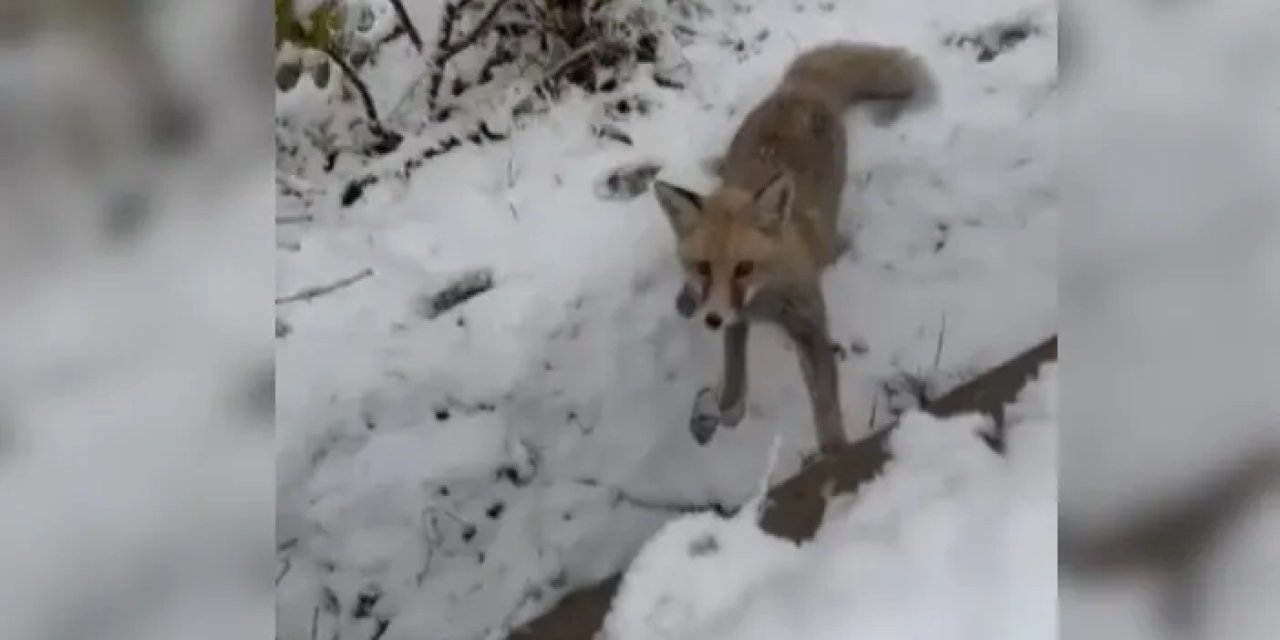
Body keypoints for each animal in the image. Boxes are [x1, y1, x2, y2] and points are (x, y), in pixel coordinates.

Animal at [655, 42, 936, 455]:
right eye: (704, 267)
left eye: (744, 268)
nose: (712, 320)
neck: (766, 301)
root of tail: (800, 90)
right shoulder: (737, 318)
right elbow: (735, 376)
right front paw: (726, 411)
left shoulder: (808, 325)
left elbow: (824, 398)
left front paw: (835, 450)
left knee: (833, 239)